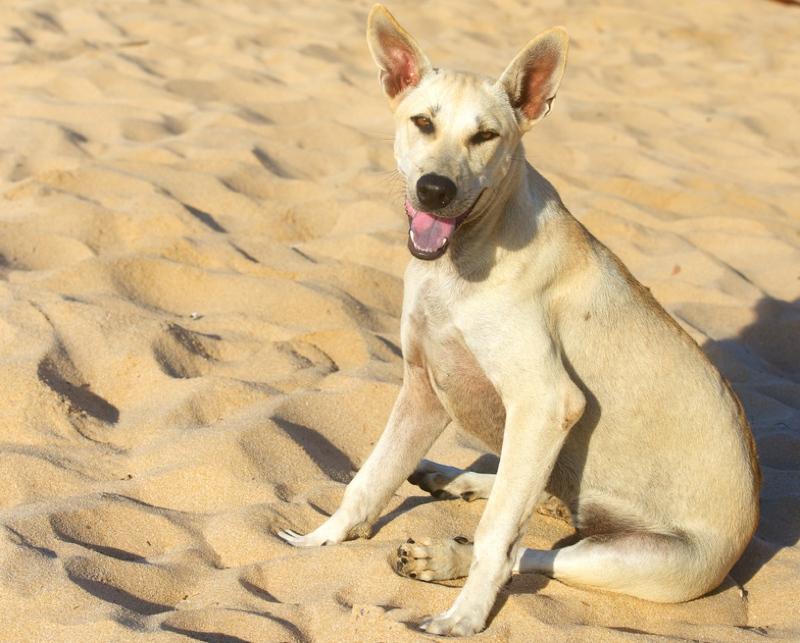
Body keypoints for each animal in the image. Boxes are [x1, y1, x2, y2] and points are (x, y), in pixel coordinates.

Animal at [278, 3, 760, 640]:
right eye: (422, 122)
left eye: (486, 136)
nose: (435, 189)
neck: (463, 262)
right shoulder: (423, 390)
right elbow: (369, 480)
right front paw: (321, 539)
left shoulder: (546, 402)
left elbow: (496, 541)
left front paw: (465, 617)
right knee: (521, 498)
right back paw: (446, 479)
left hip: (639, 560)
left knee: (526, 550)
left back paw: (444, 558)